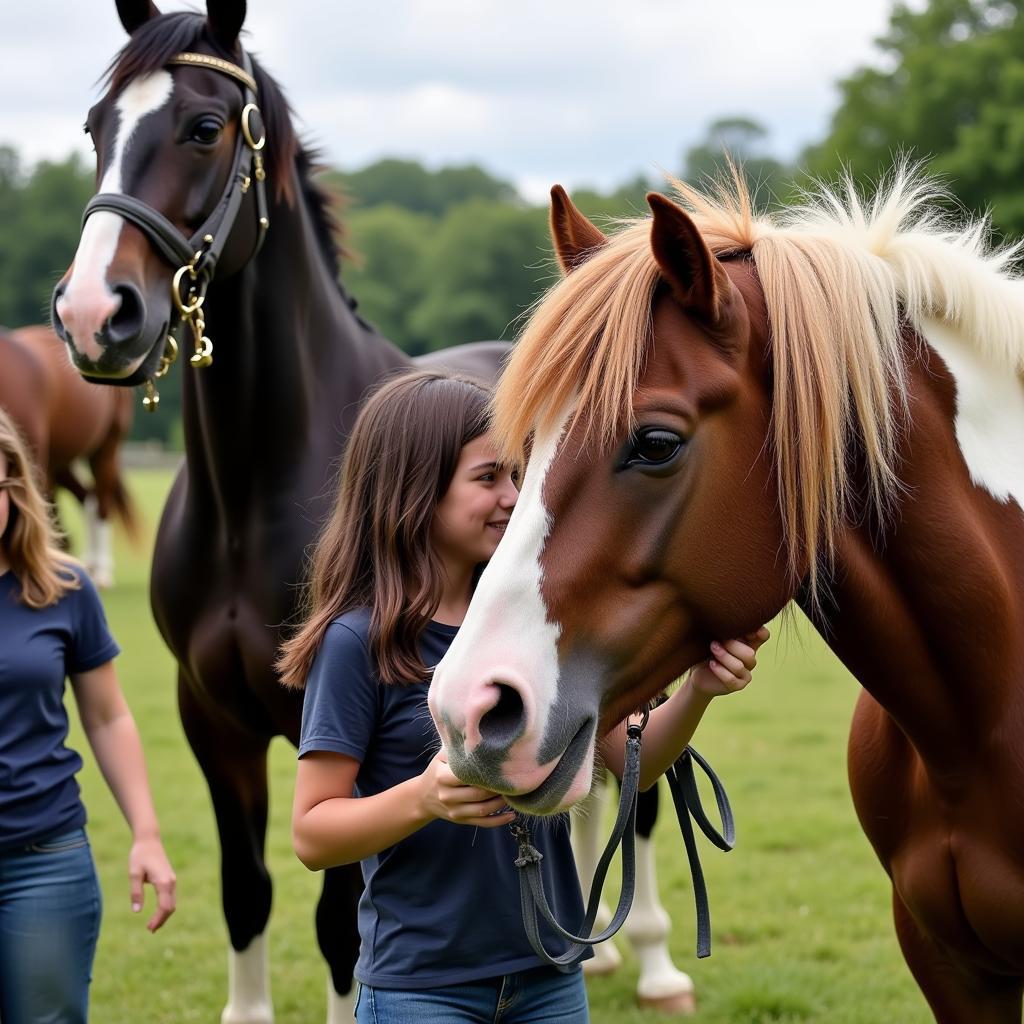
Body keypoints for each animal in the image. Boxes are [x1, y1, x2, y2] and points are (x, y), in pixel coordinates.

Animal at [52, 4, 507, 1019]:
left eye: (204, 128)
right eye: (97, 129)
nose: (95, 314)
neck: (256, 495)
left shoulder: (325, 715)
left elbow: (343, 924)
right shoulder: (210, 720)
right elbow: (245, 890)